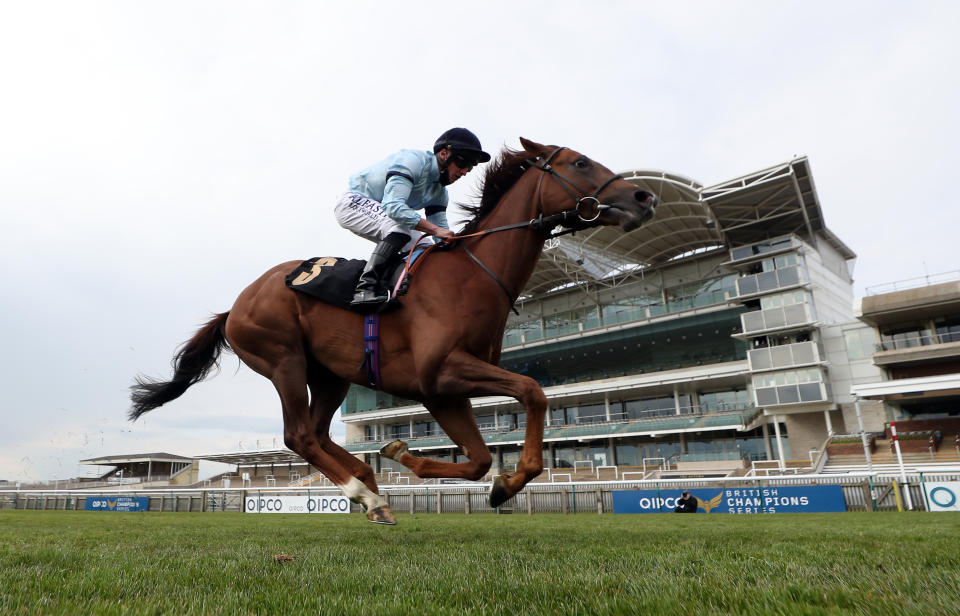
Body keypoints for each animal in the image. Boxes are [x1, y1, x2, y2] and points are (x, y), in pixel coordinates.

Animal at [131, 138, 656, 524]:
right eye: (580, 162)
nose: (644, 198)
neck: (472, 274)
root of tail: (235, 305)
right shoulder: (440, 374)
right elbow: (532, 391)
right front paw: (502, 478)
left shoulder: (445, 391)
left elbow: (483, 458)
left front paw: (473, 476)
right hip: (283, 359)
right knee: (298, 436)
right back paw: (366, 493)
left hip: (330, 374)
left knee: (317, 434)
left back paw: (369, 485)